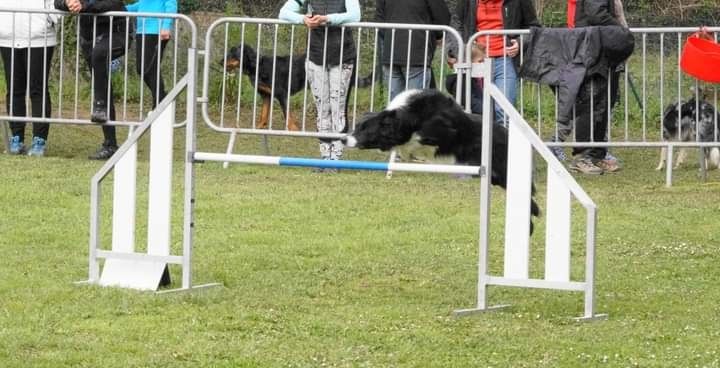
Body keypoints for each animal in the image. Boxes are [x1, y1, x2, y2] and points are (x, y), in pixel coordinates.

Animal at [344, 88, 540, 233]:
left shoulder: (442, 131)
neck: (410, 115)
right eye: (357, 127)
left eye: (364, 129)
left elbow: (420, 138)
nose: (344, 139)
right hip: (495, 177)